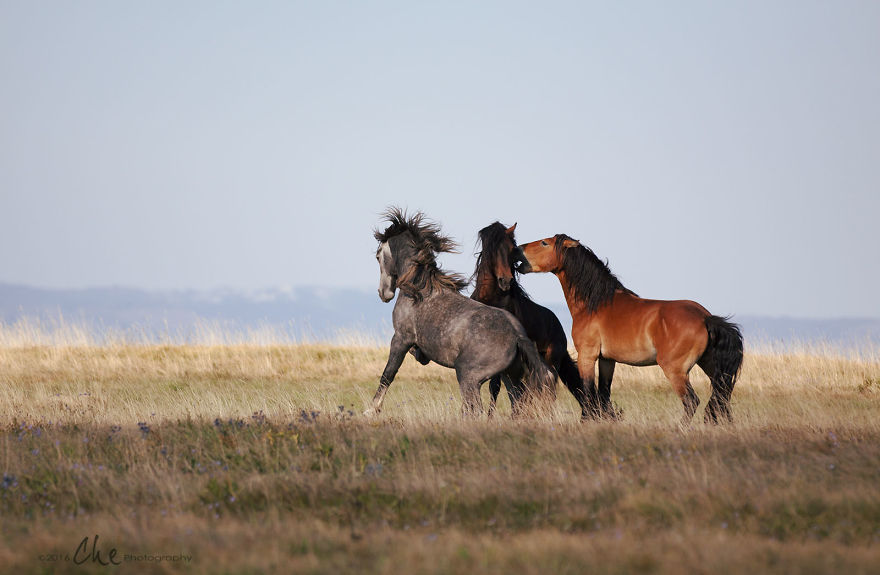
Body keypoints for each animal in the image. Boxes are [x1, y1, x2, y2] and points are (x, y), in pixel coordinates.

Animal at [365, 208, 556, 417]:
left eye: (377, 256)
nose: (383, 293)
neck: (420, 291)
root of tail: (518, 335)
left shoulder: (401, 338)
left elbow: (388, 374)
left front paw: (371, 410)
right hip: (510, 378)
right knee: (515, 404)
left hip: (468, 376)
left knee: (475, 410)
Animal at [471, 221, 597, 420]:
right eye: (492, 250)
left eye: (511, 249)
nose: (506, 281)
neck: (492, 301)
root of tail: (559, 326)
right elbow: (497, 387)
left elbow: (498, 386)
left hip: (550, 360)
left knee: (546, 387)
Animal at [513, 234, 743, 423]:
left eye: (545, 242)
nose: (517, 250)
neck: (595, 303)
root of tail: (705, 317)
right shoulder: (607, 360)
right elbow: (604, 394)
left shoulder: (587, 356)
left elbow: (588, 392)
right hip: (711, 367)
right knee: (721, 397)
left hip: (676, 370)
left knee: (692, 401)